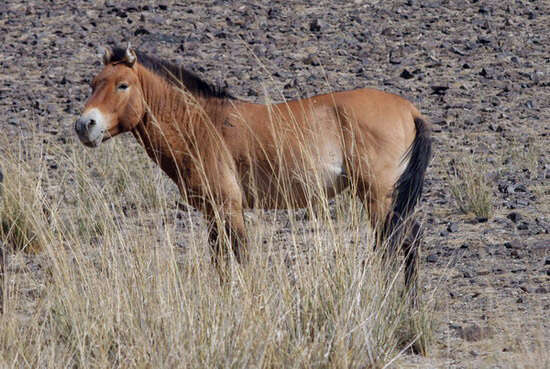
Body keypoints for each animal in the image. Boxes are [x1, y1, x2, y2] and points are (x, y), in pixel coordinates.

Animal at [74, 43, 436, 290]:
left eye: (123, 85)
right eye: (93, 83)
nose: (84, 125)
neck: (200, 124)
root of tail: (409, 109)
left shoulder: (229, 207)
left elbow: (239, 256)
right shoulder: (213, 213)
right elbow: (220, 260)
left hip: (379, 197)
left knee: (399, 242)